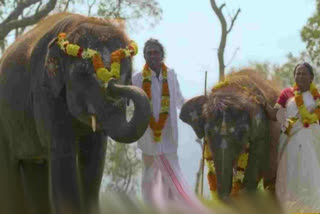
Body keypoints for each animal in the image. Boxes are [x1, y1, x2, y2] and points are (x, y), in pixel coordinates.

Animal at [0, 12, 151, 214]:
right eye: (82, 74)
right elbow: (63, 150)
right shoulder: (44, 90)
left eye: (127, 74)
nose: (112, 82)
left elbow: (95, 156)